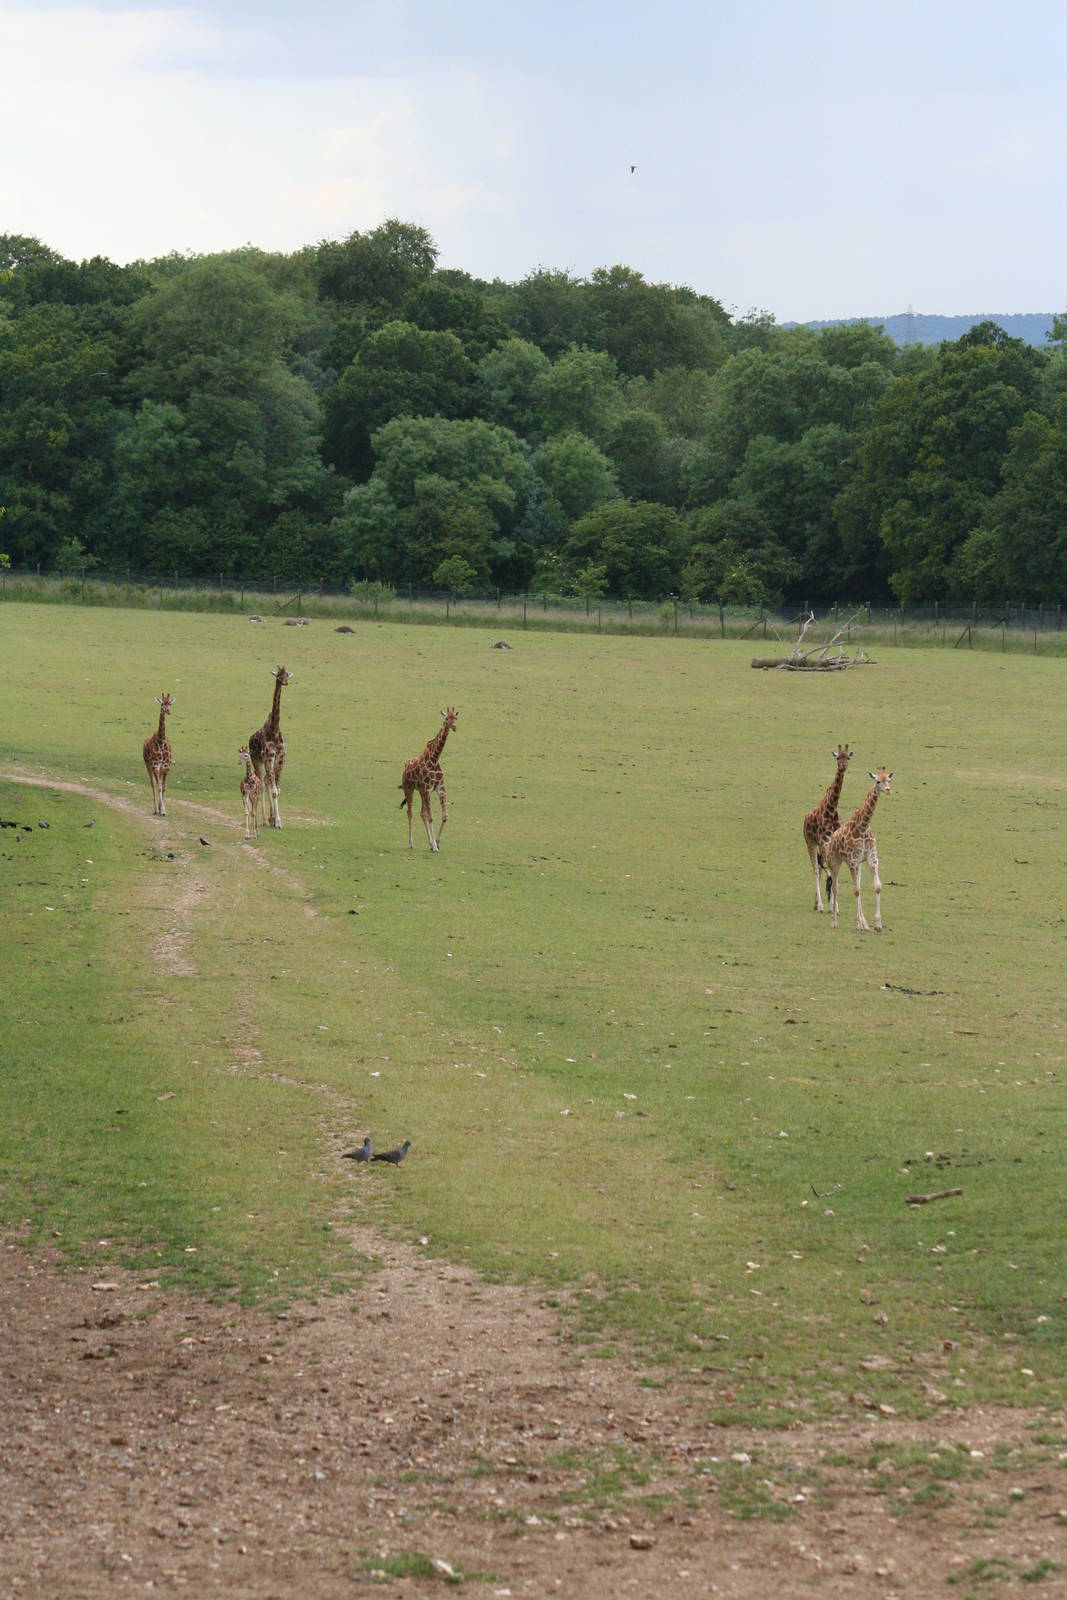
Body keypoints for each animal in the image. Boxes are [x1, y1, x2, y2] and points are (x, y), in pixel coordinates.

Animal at [249, 666, 292, 829]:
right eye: (278, 676)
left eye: (287, 675)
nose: (285, 682)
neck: (274, 730)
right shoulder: (269, 757)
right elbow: (273, 791)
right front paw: (277, 822)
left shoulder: (280, 759)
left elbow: (277, 790)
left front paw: (276, 820)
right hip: (257, 761)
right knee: (261, 783)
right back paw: (264, 820)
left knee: (266, 781)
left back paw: (270, 818)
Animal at [399, 708, 458, 852]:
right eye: (446, 718)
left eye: (456, 718)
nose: (454, 727)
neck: (435, 759)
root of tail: (405, 767)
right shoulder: (427, 789)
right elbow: (431, 817)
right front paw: (435, 846)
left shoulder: (439, 788)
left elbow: (444, 816)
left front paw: (437, 842)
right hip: (409, 788)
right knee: (410, 812)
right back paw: (411, 843)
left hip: (422, 792)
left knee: (422, 813)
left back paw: (430, 843)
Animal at [803, 743, 853, 912]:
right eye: (838, 757)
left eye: (848, 757)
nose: (843, 766)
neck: (831, 809)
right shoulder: (823, 840)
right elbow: (830, 871)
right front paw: (831, 905)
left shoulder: (832, 841)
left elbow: (833, 871)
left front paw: (834, 905)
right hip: (810, 842)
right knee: (815, 870)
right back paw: (819, 905)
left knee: (819, 868)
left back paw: (817, 902)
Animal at [825, 768, 893, 932]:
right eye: (878, 781)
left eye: (889, 779)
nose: (888, 790)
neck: (862, 827)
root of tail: (830, 841)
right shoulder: (852, 860)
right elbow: (855, 890)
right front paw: (858, 925)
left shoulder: (871, 859)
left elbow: (876, 887)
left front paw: (877, 925)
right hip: (834, 862)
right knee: (835, 887)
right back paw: (834, 922)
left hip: (858, 865)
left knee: (858, 887)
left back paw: (864, 923)